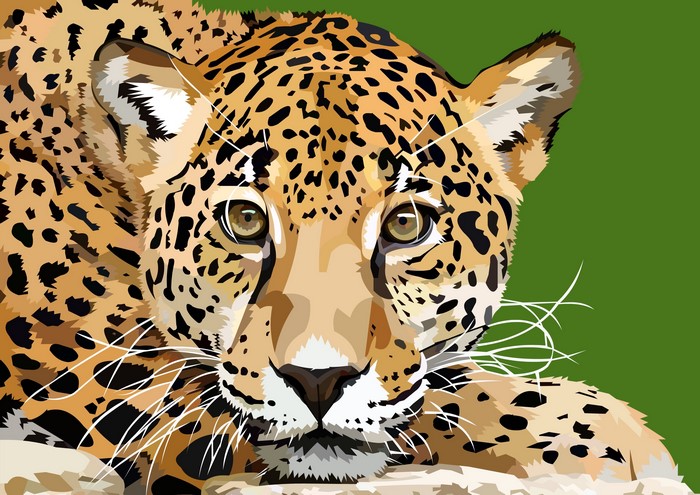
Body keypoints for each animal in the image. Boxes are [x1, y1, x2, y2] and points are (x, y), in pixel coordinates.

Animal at [0, 0, 682, 493]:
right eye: (244, 220)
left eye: (406, 225)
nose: (319, 381)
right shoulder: (107, 379)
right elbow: (453, 403)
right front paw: (612, 437)